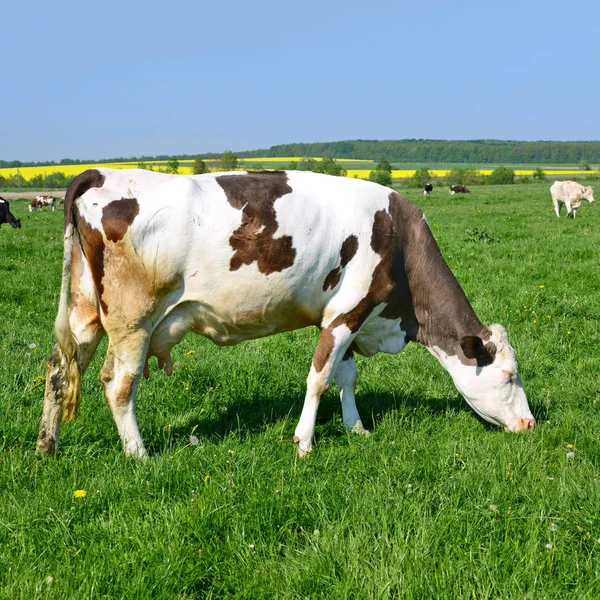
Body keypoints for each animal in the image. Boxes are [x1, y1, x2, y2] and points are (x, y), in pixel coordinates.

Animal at [37, 166, 536, 458]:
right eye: (510, 376)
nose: (530, 423)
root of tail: (99, 173)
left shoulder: (347, 315)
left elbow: (345, 376)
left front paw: (357, 429)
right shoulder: (347, 313)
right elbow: (318, 378)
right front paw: (304, 442)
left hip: (85, 312)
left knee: (59, 368)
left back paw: (47, 447)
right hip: (132, 319)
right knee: (118, 384)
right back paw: (139, 454)